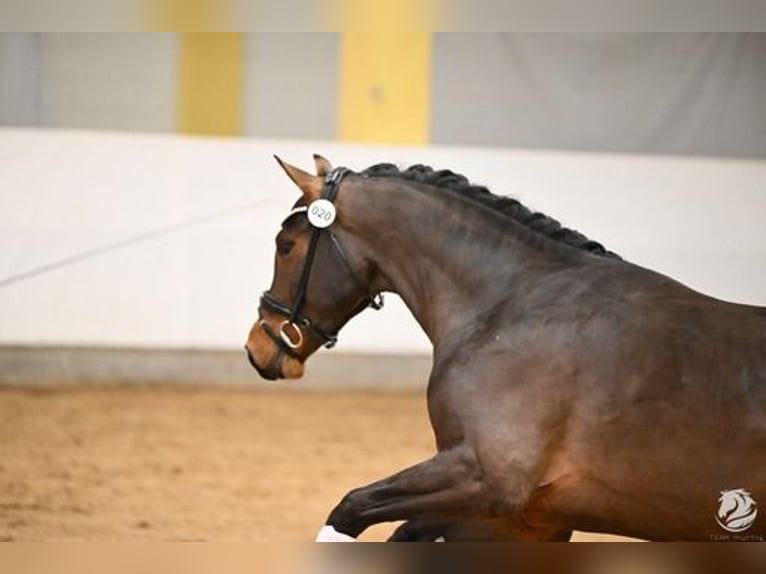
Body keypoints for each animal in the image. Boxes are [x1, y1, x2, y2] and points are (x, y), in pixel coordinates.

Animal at [248, 155, 766, 544]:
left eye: (286, 245)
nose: (258, 345)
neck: (512, 307)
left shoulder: (486, 481)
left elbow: (350, 508)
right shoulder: (525, 518)